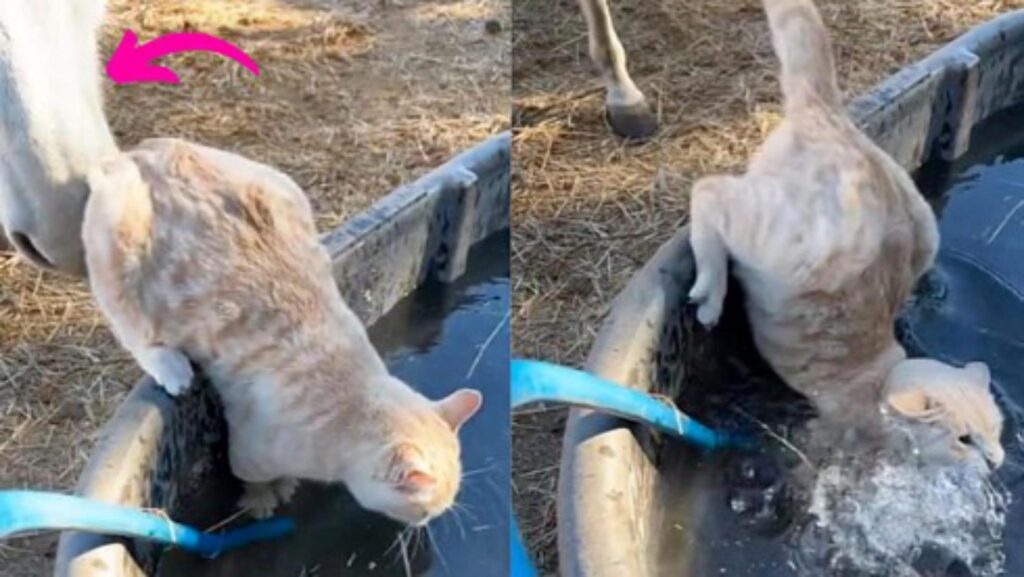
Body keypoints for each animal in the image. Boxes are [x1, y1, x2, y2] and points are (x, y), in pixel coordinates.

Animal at [81, 138, 481, 524]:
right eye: (425, 511)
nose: (424, 525)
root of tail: (144, 149)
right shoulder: (248, 452)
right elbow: (254, 480)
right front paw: (262, 500)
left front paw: (285, 486)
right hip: (117, 241)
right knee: (129, 323)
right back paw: (169, 365)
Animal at [684, 0, 1003, 469]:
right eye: (964, 440)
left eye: (996, 430)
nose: (997, 461)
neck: (882, 378)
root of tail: (831, 113)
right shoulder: (833, 431)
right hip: (782, 237)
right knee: (707, 191)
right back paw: (710, 290)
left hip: (924, 228)